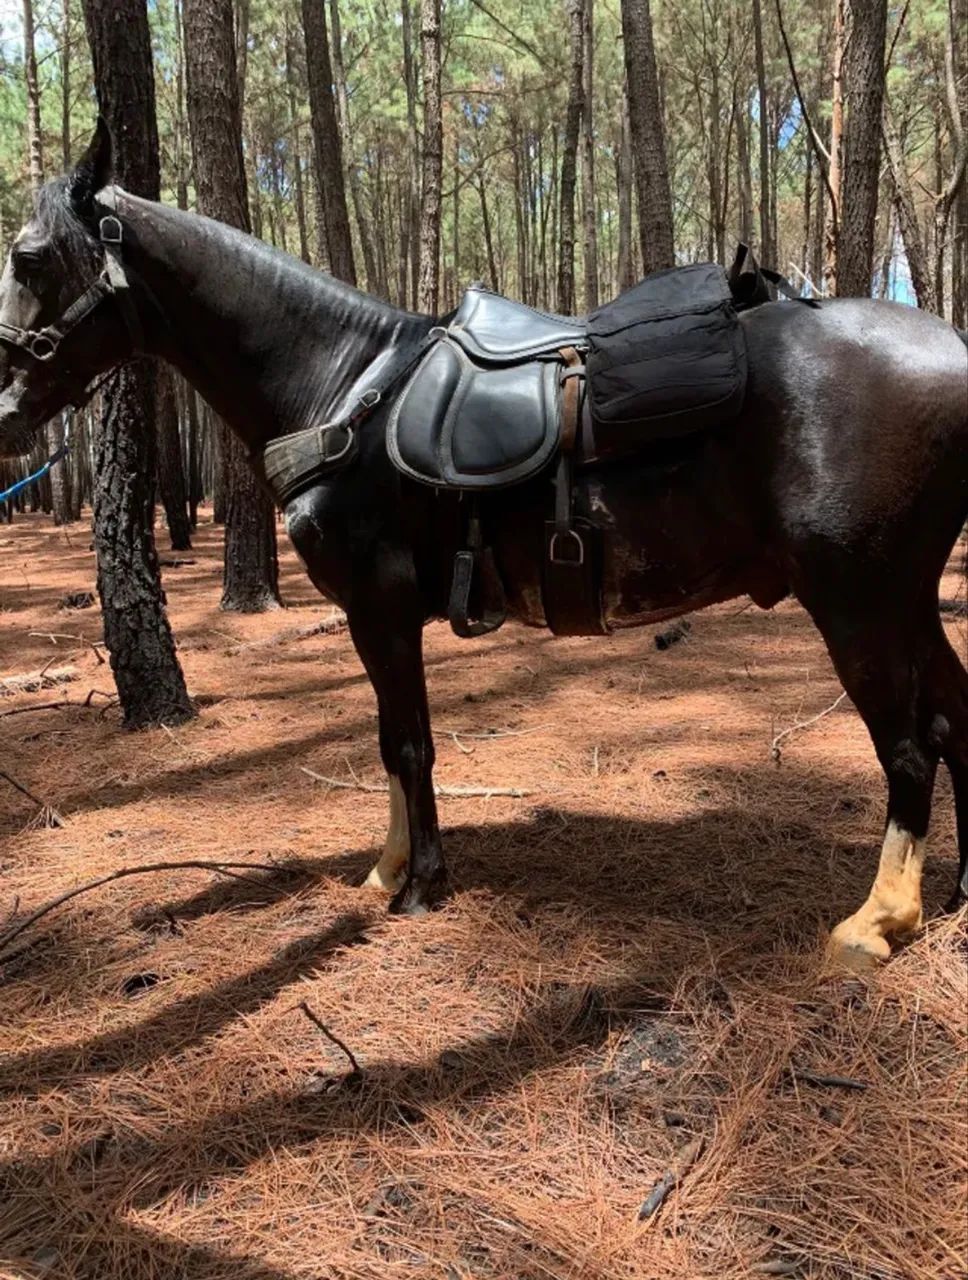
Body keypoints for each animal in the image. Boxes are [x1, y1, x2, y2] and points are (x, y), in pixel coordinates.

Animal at [1, 123, 966, 970]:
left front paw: (420, 883)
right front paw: (389, 868)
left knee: (908, 745)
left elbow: (408, 745)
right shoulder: (379, 617)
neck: (342, 386)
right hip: (908, 597)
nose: (6, 408)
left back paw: (878, 921)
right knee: (954, 717)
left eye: (31, 256)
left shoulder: (380, 608)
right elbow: (393, 739)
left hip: (860, 601)